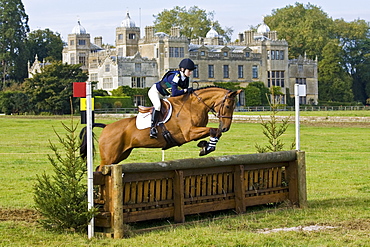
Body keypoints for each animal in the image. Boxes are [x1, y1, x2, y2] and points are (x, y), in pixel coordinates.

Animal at [80, 86, 243, 171]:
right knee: (100, 169)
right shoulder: (188, 133)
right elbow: (214, 130)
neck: (194, 105)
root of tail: (106, 126)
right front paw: (206, 147)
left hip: (120, 155)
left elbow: (214, 131)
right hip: (109, 156)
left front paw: (205, 145)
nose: (226, 127)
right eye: (228, 106)